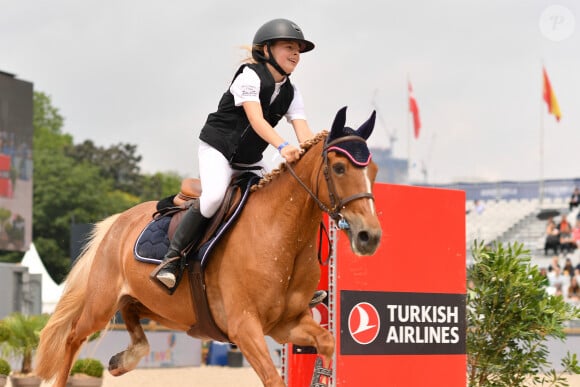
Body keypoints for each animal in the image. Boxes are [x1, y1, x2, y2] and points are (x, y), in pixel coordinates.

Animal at [35, 107, 380, 387]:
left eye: (373, 172)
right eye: (339, 168)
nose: (370, 236)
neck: (281, 236)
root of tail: (119, 220)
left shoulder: (286, 324)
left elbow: (327, 342)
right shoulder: (245, 328)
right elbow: (273, 379)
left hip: (158, 306)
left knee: (131, 313)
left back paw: (125, 359)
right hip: (101, 303)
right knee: (73, 337)